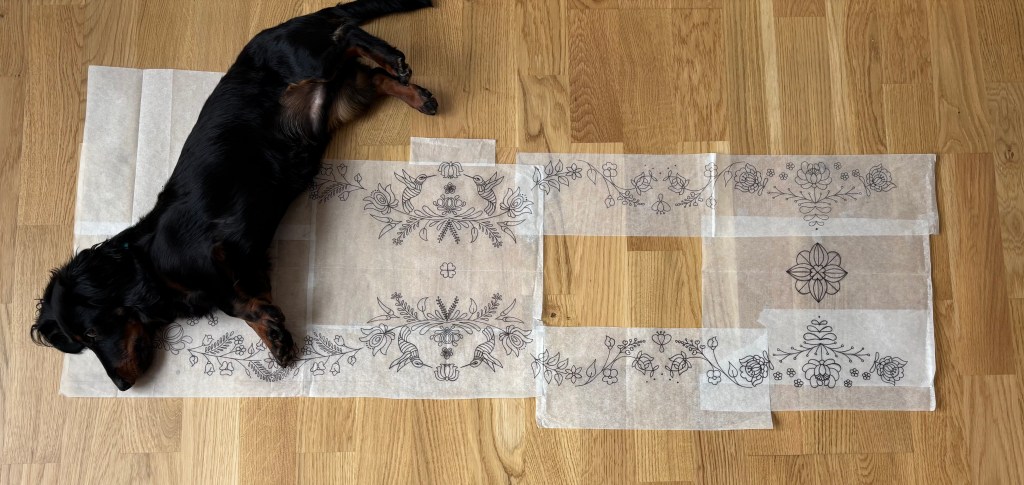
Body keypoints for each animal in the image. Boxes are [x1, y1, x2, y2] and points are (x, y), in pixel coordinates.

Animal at [30, 0, 437, 391]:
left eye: (93, 332)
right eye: (82, 344)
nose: (121, 385)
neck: (147, 264)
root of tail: (296, 21)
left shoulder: (215, 251)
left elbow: (232, 303)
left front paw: (272, 331)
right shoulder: (249, 262)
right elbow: (250, 297)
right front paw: (275, 334)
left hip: (311, 63)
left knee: (348, 35)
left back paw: (393, 58)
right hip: (344, 97)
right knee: (373, 77)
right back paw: (418, 95)